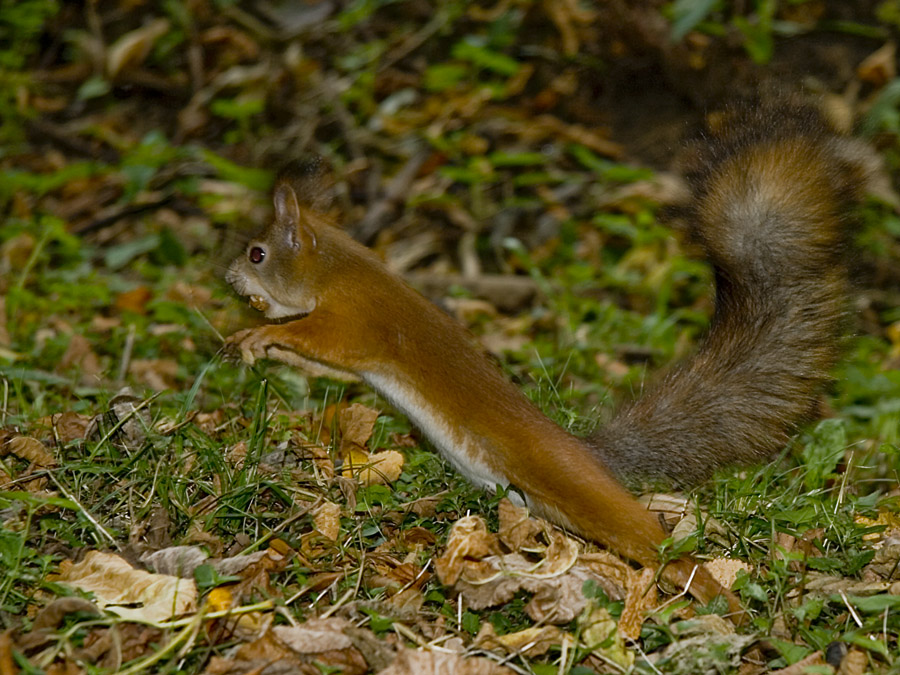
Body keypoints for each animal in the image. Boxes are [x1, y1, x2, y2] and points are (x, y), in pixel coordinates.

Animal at [225, 107, 872, 624]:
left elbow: (322, 341)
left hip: (575, 490)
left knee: (655, 545)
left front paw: (257, 334)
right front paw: (261, 346)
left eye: (257, 253)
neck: (339, 265)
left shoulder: (355, 321)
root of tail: (585, 455)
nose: (228, 278)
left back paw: (716, 593)